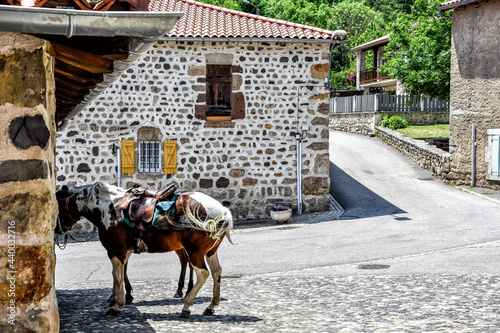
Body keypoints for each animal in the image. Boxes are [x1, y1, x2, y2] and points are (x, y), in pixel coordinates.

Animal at [55, 182, 233, 316]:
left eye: (58, 205)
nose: (56, 229)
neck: (108, 208)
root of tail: (223, 212)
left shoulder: (116, 251)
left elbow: (118, 276)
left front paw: (117, 304)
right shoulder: (122, 251)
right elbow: (117, 275)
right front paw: (116, 298)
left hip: (195, 251)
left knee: (203, 273)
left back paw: (186, 305)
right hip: (209, 252)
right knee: (216, 271)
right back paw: (210, 306)